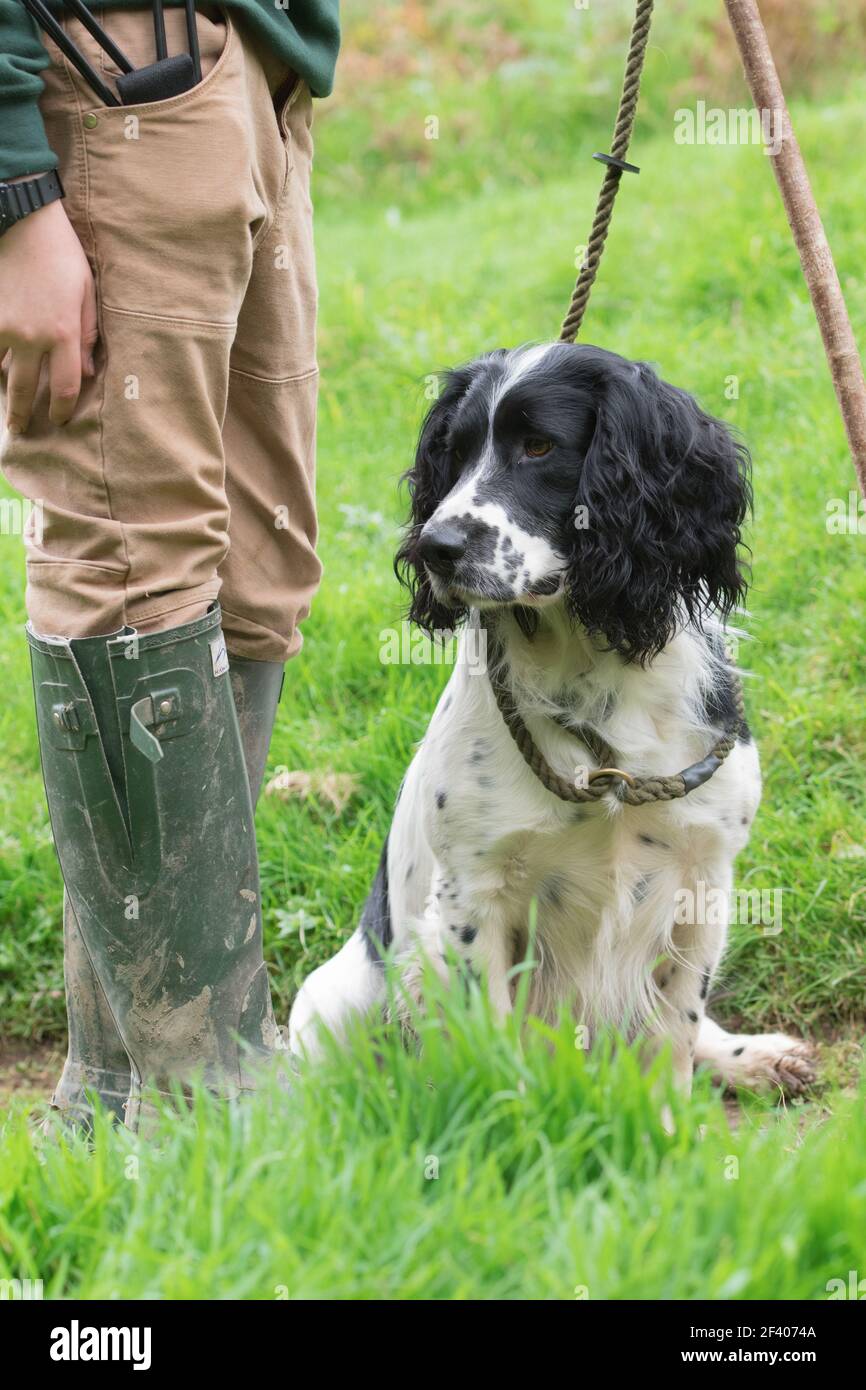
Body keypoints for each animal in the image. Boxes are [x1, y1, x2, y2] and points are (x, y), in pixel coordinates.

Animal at [291, 339, 817, 1095]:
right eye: (452, 451)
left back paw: (754, 1055)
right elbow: (495, 1054)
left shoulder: (702, 882)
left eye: (539, 445)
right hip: (333, 1002)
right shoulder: (472, 900)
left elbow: (673, 1041)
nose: (433, 546)